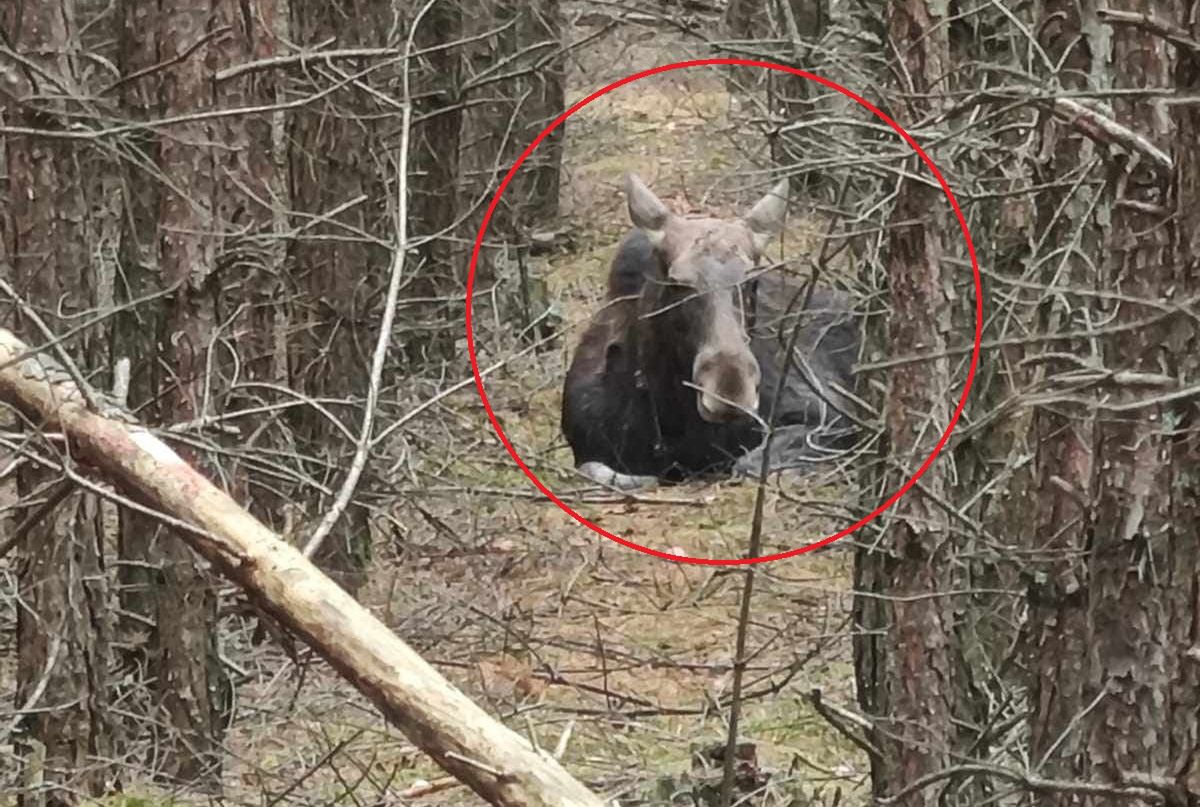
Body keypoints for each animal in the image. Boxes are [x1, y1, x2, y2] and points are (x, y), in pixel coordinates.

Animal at [561, 172, 864, 487]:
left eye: (752, 280)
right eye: (677, 283)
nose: (729, 392)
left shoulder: (829, 414)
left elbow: (748, 464)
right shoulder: (586, 449)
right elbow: (601, 470)